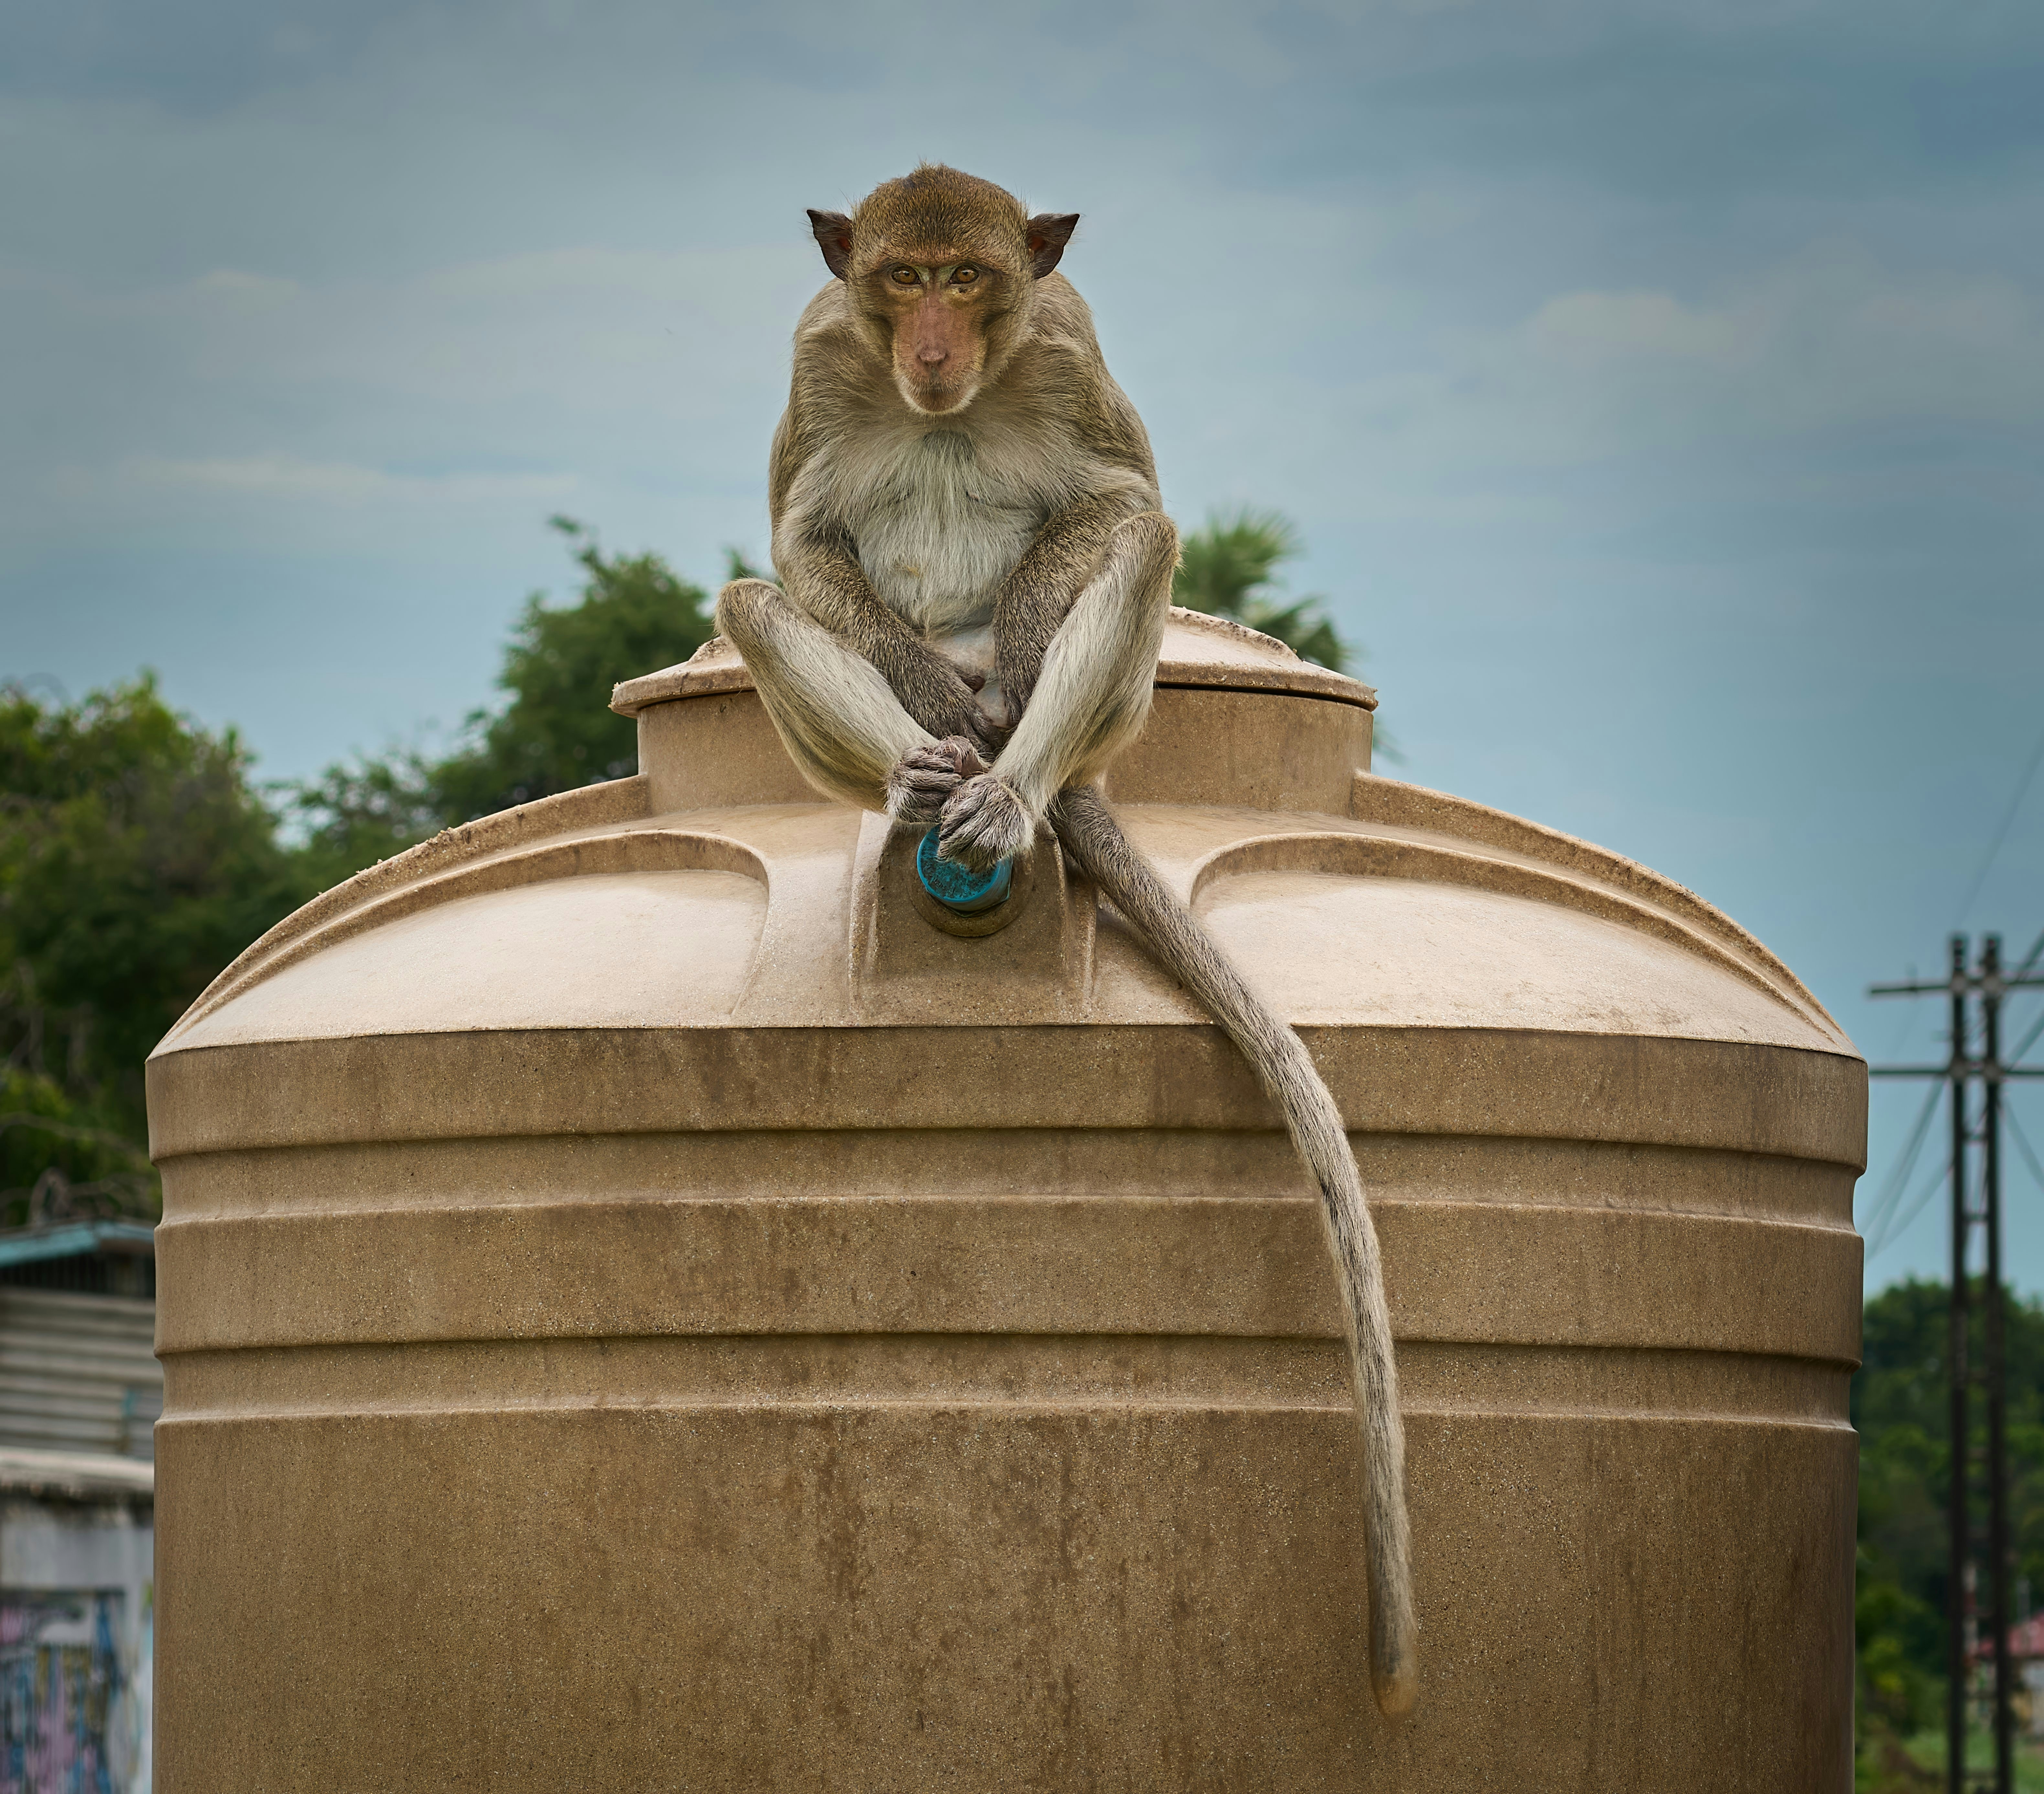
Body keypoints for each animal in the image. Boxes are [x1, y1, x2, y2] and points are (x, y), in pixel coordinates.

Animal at [713, 165, 1416, 1717]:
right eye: (900, 278)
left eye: (969, 281)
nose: (929, 344)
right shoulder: (816, 356)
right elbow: (799, 539)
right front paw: (913, 686)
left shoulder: (1065, 353)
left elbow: (1119, 502)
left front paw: (1032, 644)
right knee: (754, 603)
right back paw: (927, 764)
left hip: (1110, 717)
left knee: (1127, 560)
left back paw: (1007, 779)